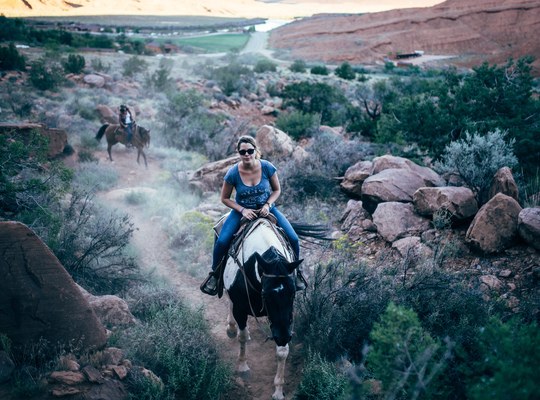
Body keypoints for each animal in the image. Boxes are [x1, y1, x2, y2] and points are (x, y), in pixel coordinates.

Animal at [221, 219, 302, 400]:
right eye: (265, 294)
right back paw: (231, 328)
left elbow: (282, 351)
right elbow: (242, 336)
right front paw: (243, 367)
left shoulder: (284, 322)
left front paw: (278, 391)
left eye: (293, 293)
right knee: (229, 301)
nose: (282, 336)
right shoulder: (240, 309)